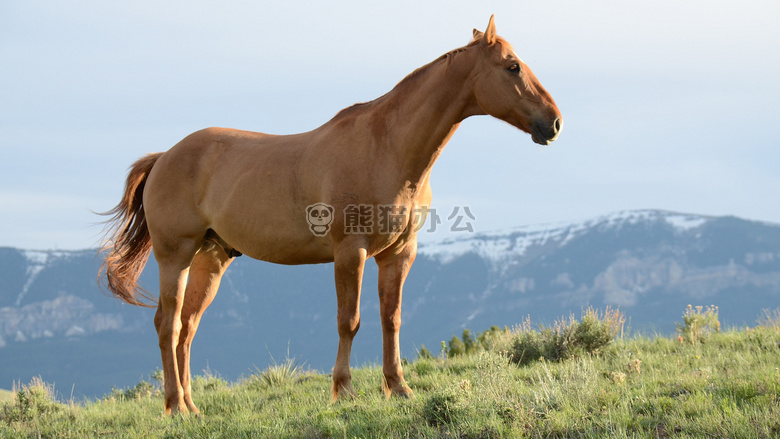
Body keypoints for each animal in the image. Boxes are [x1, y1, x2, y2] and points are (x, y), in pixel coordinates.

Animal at [99, 16, 560, 416]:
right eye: (512, 66)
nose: (553, 123)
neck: (387, 147)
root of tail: (164, 157)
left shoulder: (399, 254)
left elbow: (391, 319)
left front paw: (399, 388)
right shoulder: (350, 252)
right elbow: (349, 321)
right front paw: (345, 391)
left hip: (210, 258)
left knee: (188, 327)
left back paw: (192, 407)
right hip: (175, 255)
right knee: (168, 324)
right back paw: (175, 407)